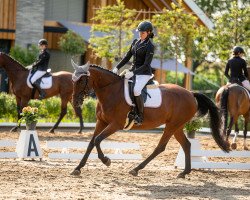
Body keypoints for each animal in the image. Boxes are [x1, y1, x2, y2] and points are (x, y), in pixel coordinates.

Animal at [70, 60, 229, 178]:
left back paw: (136, 169)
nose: (75, 102)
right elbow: (91, 142)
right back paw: (184, 172)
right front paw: (78, 168)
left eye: (82, 80)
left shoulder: (116, 124)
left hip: (172, 125)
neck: (111, 90)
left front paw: (106, 161)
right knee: (186, 145)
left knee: (161, 147)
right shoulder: (101, 122)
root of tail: (190, 93)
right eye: (73, 80)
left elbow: (97, 140)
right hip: (177, 126)